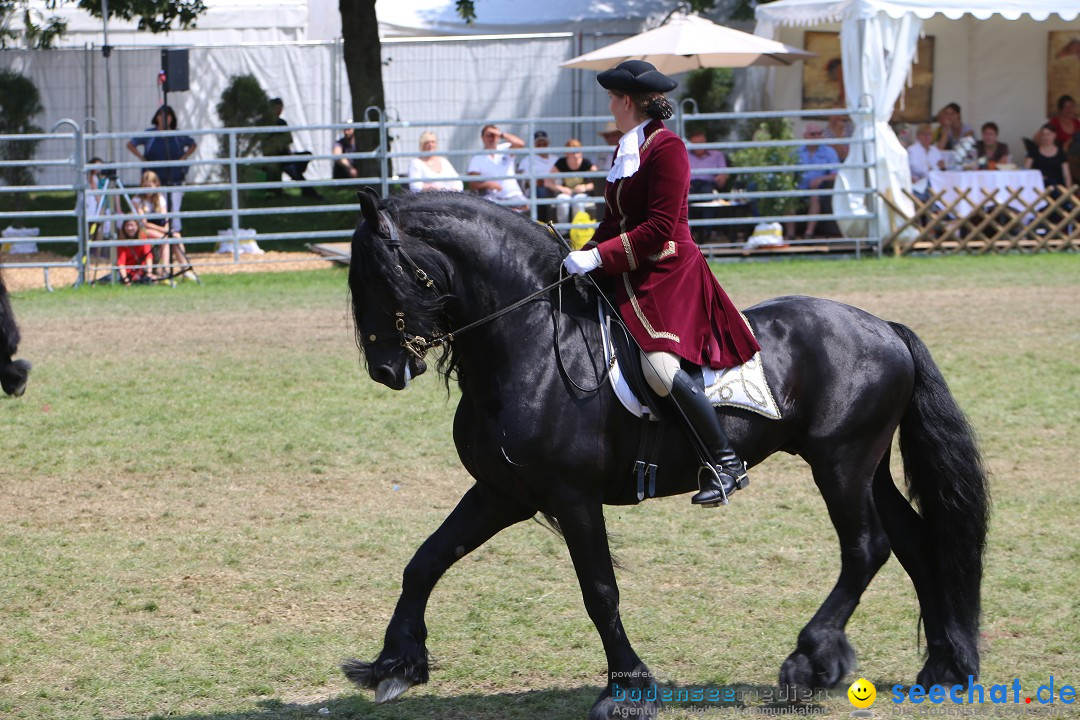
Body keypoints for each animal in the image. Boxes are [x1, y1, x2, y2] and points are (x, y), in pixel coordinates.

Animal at [343, 191, 989, 720]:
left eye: (379, 276)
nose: (386, 371)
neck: (532, 344)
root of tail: (884, 326)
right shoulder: (504, 492)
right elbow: (426, 560)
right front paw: (393, 665)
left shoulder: (571, 496)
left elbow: (600, 591)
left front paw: (627, 688)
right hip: (866, 466)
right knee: (916, 542)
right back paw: (943, 669)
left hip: (841, 463)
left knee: (866, 547)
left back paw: (809, 663)